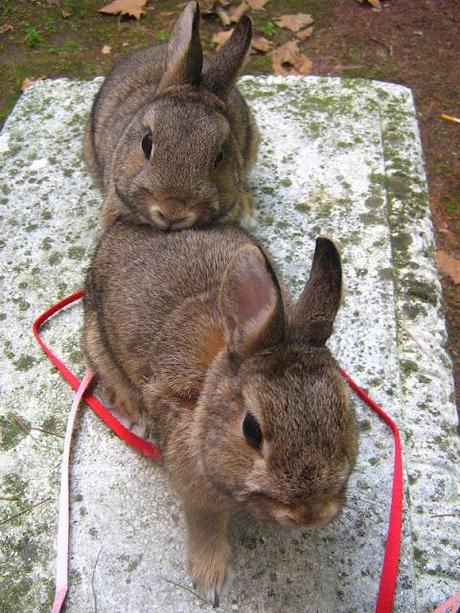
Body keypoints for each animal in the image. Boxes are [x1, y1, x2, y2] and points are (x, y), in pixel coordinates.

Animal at [85, 219, 360, 604]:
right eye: (251, 430)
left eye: (345, 412)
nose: (308, 513)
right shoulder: (193, 482)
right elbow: (205, 524)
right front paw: (211, 581)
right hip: (98, 343)